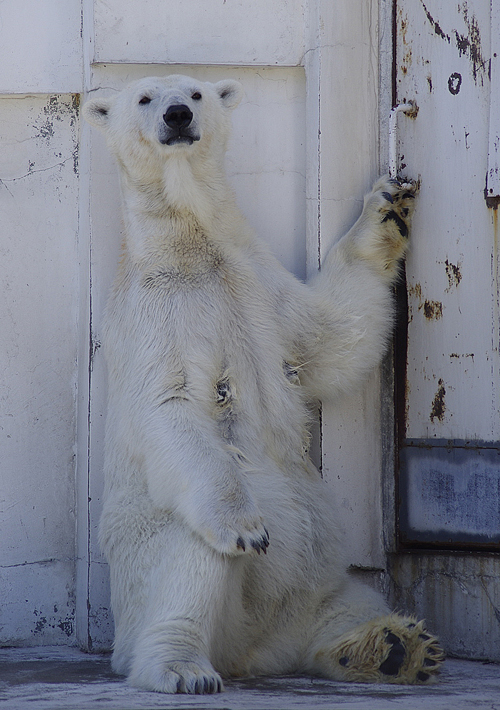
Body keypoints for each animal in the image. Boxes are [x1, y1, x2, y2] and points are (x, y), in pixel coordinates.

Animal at [83, 73, 446, 696]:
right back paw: (183, 667)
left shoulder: (262, 284)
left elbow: (331, 333)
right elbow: (170, 405)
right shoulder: (154, 314)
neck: (193, 247)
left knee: (349, 606)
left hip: (322, 584)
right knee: (189, 559)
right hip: (148, 574)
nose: (177, 115)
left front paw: (390, 208)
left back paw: (390, 647)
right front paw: (246, 528)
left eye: (195, 94)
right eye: (146, 98)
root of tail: (254, 653)